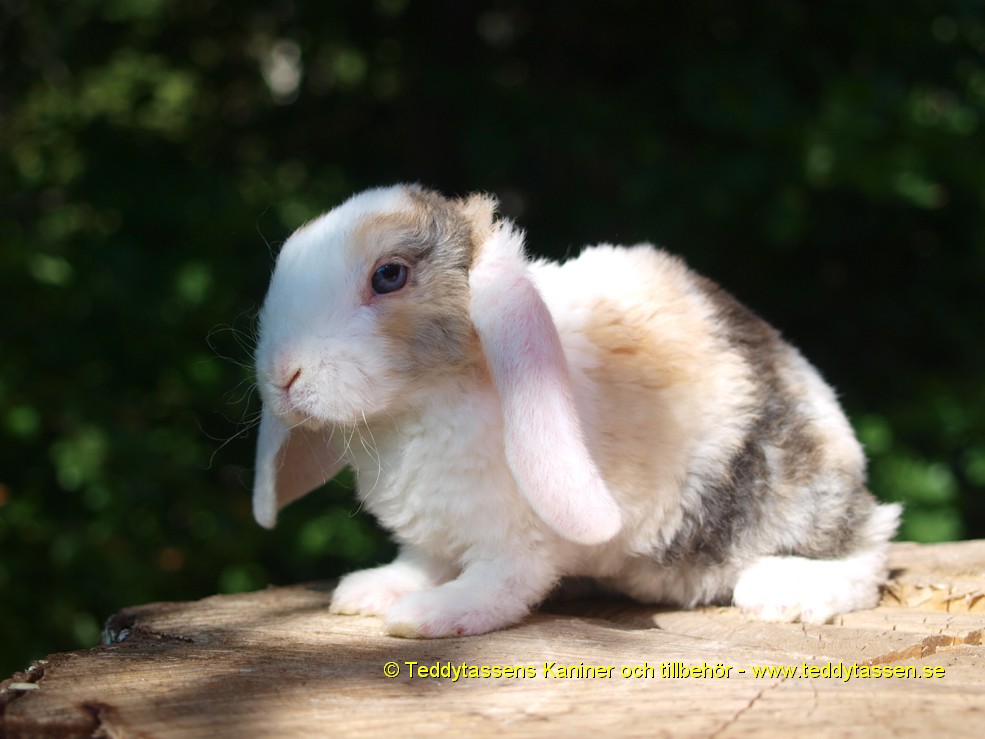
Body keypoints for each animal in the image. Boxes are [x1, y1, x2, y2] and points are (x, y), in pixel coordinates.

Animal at [252, 184, 900, 636]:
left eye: (389, 276)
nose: (283, 375)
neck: (419, 409)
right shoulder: (432, 536)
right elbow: (420, 561)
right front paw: (370, 592)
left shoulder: (518, 542)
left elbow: (499, 584)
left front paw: (430, 614)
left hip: (788, 487)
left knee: (868, 548)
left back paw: (785, 592)